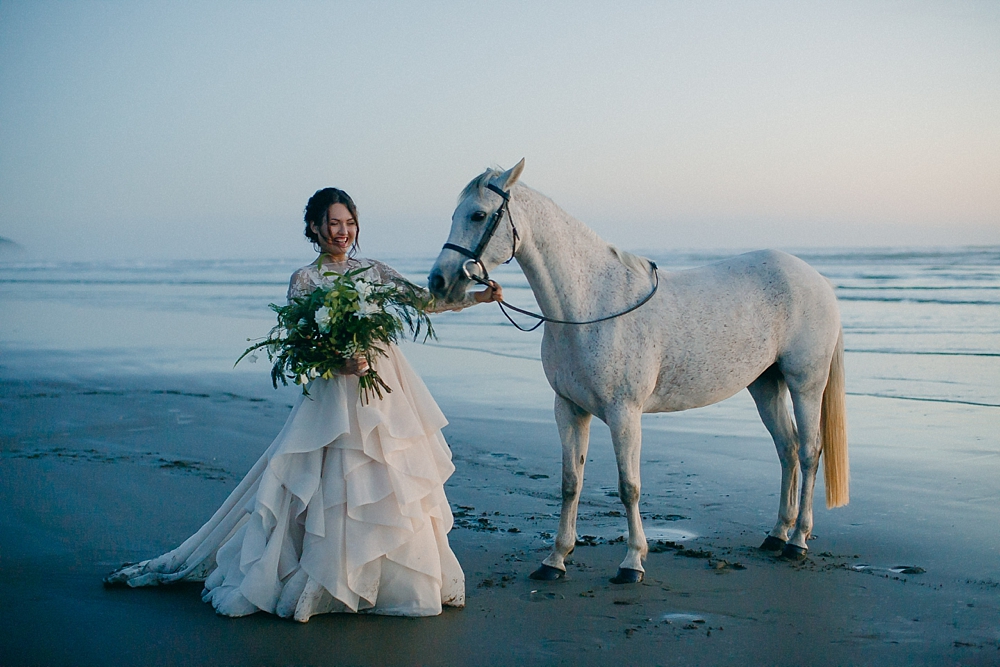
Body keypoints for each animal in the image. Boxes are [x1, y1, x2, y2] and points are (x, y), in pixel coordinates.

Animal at [426, 162, 848, 584]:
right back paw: (777, 535)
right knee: (787, 449)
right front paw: (556, 559)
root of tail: (818, 281)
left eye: (478, 215)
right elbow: (570, 483)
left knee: (808, 452)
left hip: (805, 384)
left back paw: (797, 541)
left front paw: (632, 562)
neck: (590, 305)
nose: (438, 281)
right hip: (766, 385)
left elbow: (628, 486)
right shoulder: (568, 409)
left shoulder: (624, 413)